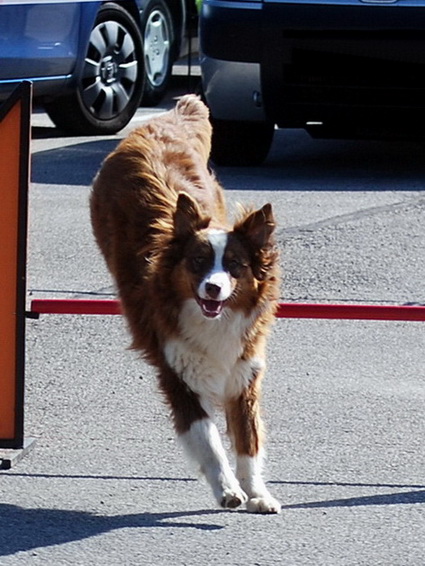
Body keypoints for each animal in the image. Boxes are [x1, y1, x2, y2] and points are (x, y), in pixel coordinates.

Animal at [91, 94, 280, 516]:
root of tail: (158, 125)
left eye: (234, 265)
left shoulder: (243, 372)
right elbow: (208, 440)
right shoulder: (177, 373)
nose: (212, 288)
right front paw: (228, 490)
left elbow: (249, 441)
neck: (215, 321)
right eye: (197, 262)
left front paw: (257, 493)